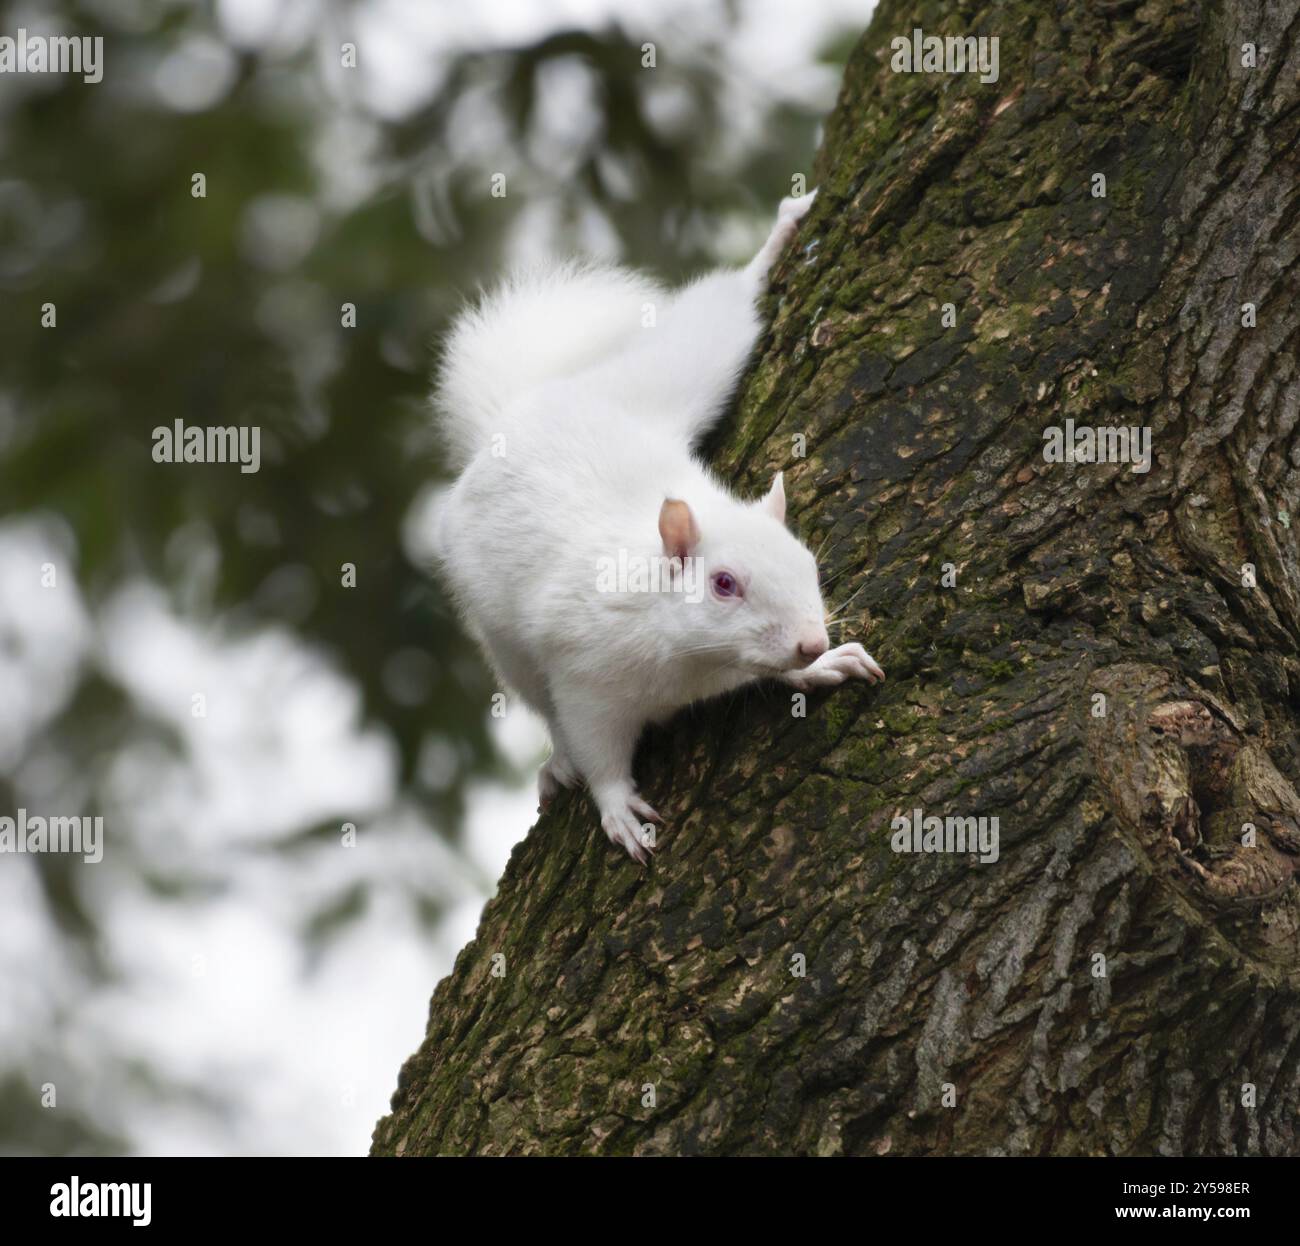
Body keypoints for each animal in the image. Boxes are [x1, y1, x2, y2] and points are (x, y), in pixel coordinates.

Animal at [431, 190, 884, 864]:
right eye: (724, 584)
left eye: (808, 564)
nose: (811, 642)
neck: (696, 663)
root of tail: (519, 413)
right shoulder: (586, 677)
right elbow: (598, 751)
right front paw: (617, 809)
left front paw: (821, 666)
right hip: (506, 644)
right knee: (542, 707)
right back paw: (557, 764)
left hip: (686, 365)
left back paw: (775, 243)